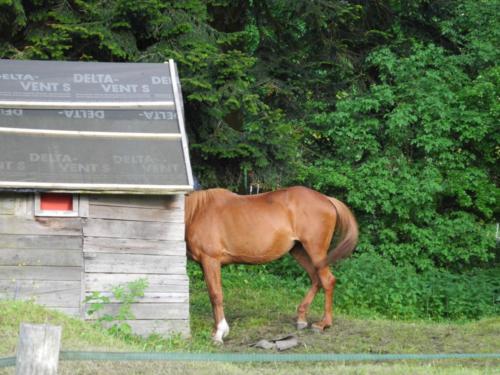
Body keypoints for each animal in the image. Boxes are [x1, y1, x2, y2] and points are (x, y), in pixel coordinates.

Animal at [186, 186, 358, 344]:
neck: (197, 211)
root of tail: (327, 199)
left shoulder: (211, 260)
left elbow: (215, 295)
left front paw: (219, 333)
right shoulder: (205, 264)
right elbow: (212, 294)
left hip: (316, 251)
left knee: (328, 281)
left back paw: (323, 324)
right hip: (299, 250)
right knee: (316, 278)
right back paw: (301, 319)